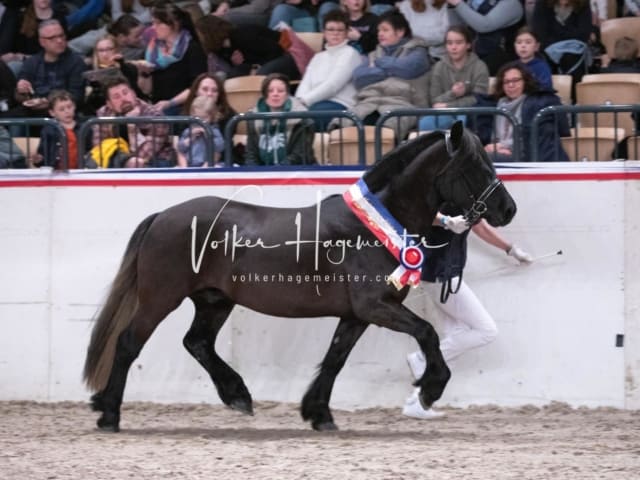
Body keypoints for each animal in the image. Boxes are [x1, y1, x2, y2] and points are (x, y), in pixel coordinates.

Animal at [85, 123, 516, 432]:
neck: (375, 226)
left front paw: (318, 414)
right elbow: (426, 332)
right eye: (476, 167)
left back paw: (238, 395)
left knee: (197, 343)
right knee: (128, 343)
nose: (507, 209)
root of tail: (162, 216)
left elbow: (335, 360)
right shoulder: (375, 307)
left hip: (214, 300)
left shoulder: (357, 315)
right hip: (161, 298)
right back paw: (109, 415)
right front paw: (430, 387)